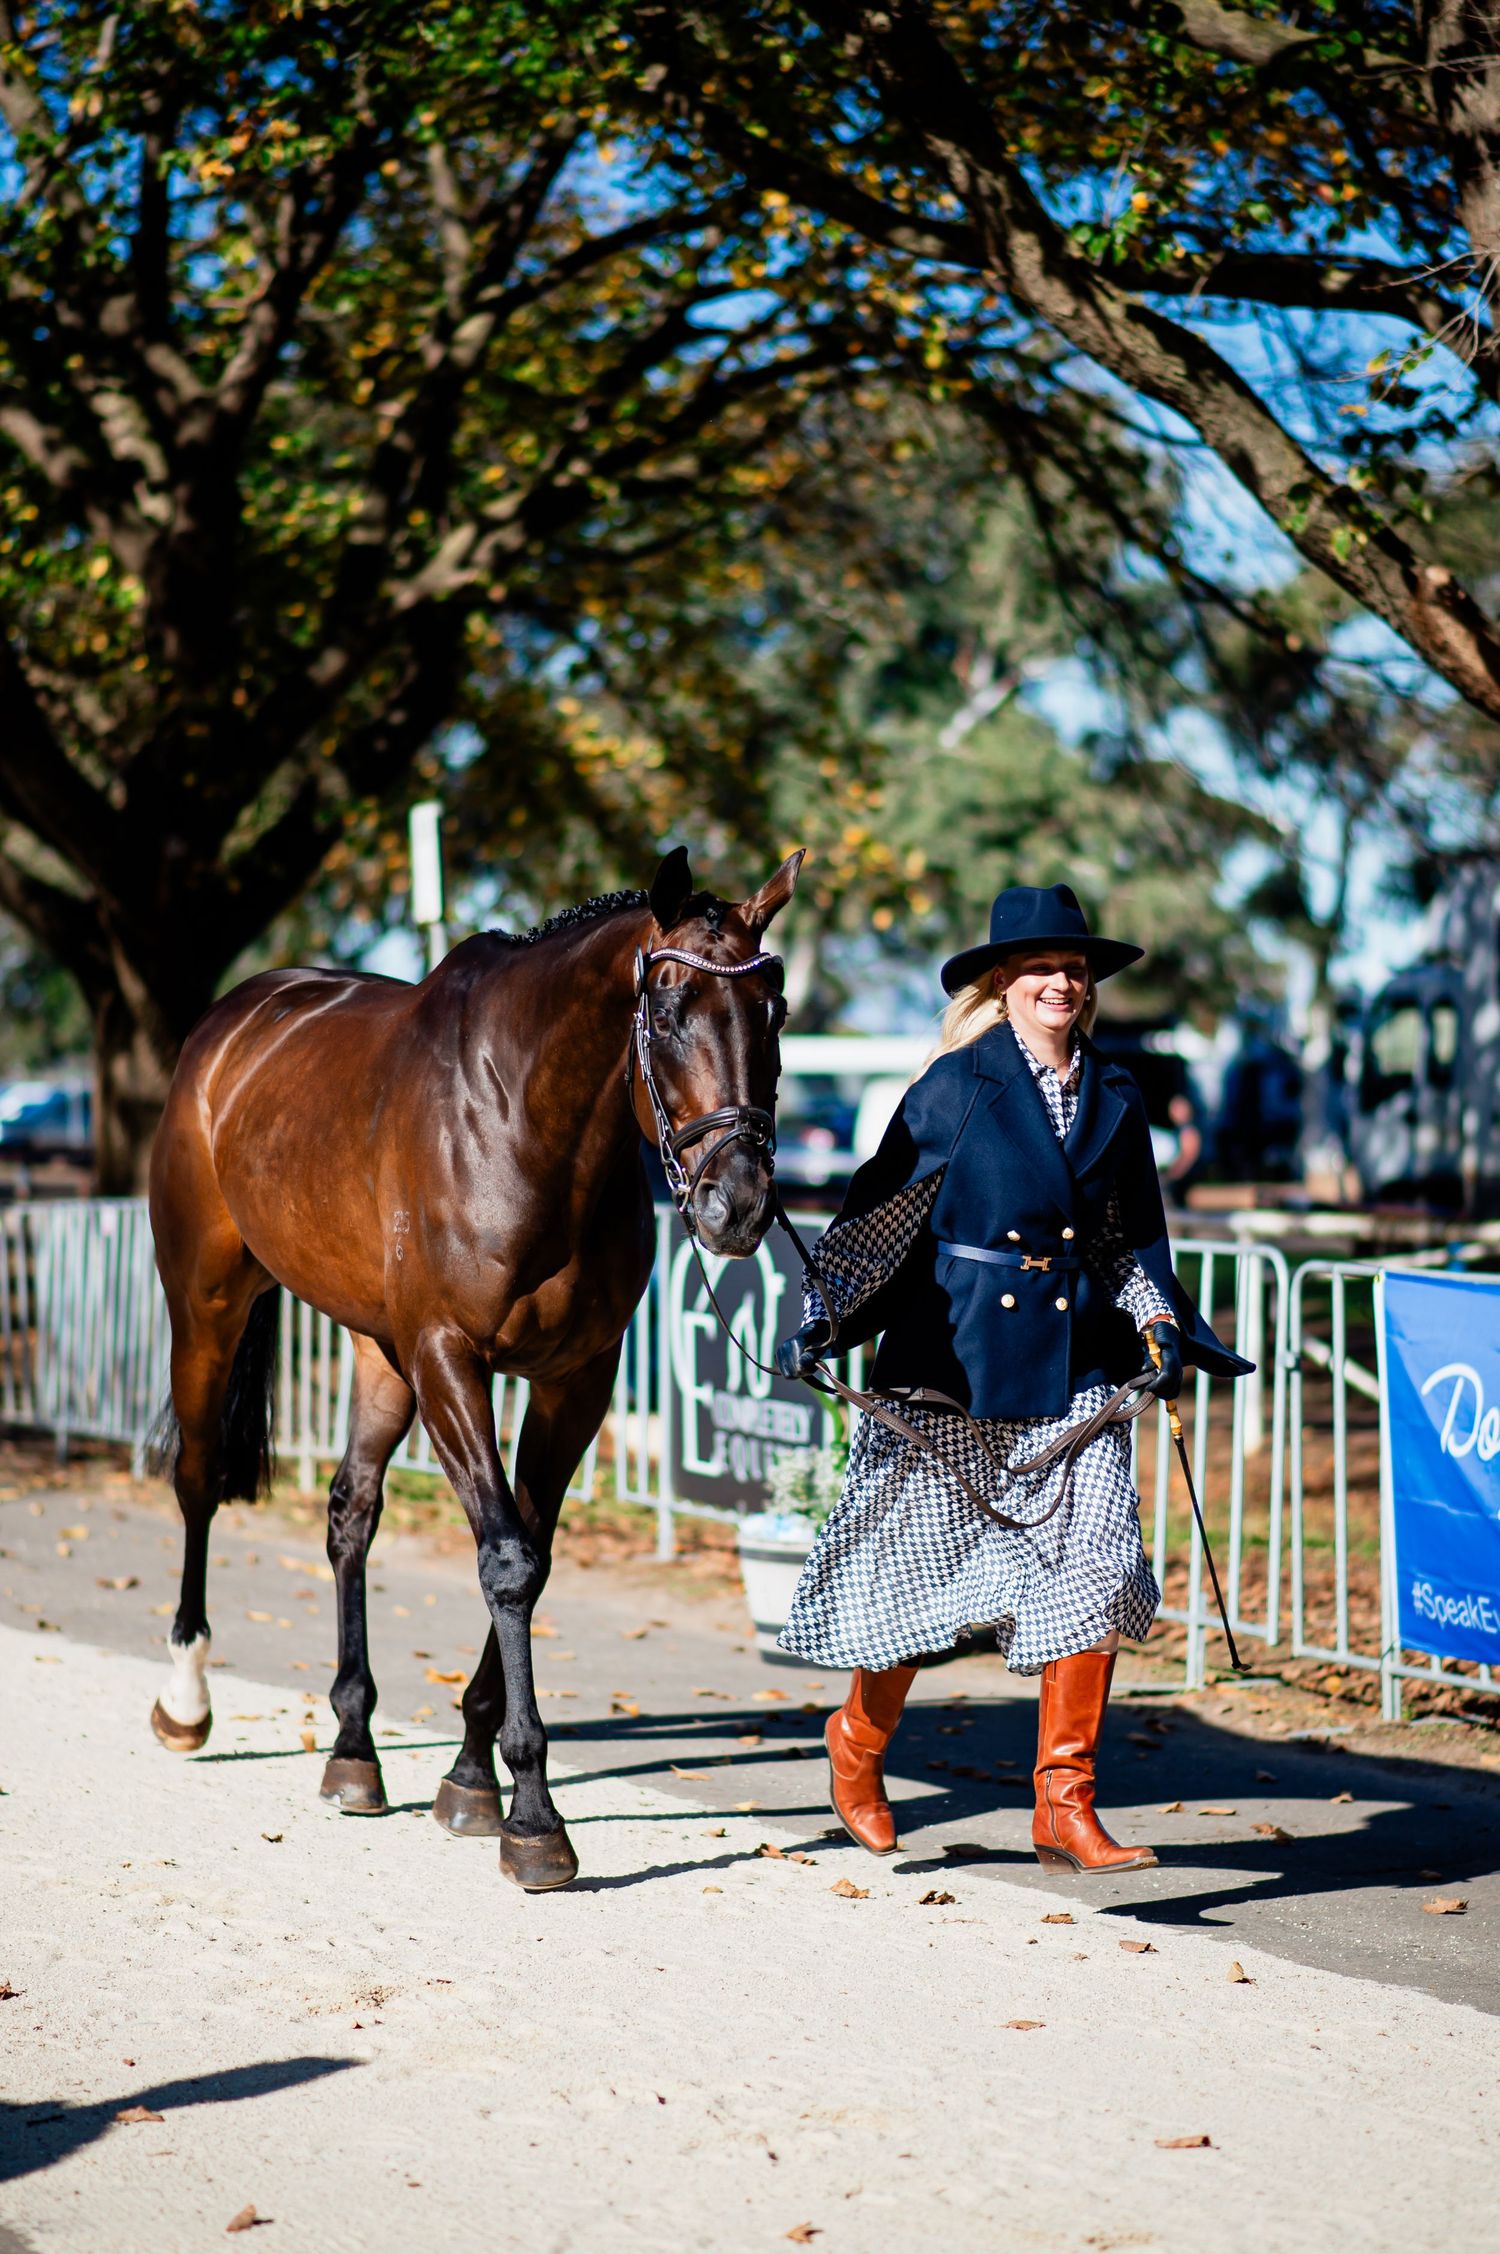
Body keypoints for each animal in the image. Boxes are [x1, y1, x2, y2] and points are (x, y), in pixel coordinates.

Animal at [146, 844, 801, 1889]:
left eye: (773, 1011)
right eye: (665, 1011)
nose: (734, 1205)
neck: (523, 1123)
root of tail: (234, 1021)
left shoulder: (577, 1379)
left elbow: (533, 1552)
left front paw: (469, 1778)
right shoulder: (451, 1357)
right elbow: (505, 1558)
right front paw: (534, 1817)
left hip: (378, 1352)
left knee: (351, 1511)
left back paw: (354, 1752)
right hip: (208, 1302)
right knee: (201, 1477)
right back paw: (187, 1699)